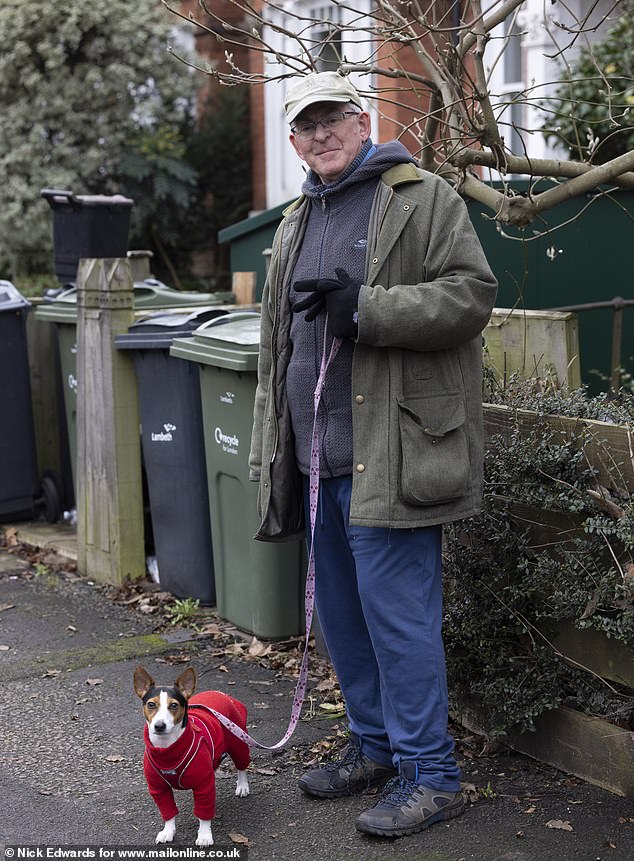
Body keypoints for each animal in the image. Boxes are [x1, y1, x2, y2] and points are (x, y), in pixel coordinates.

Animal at [133, 664, 249, 848]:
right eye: (151, 704)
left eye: (174, 705)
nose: (159, 726)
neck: (167, 749)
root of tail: (220, 693)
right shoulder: (158, 788)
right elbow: (168, 811)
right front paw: (168, 831)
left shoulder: (204, 786)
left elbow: (203, 813)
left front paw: (204, 835)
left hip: (239, 743)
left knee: (242, 766)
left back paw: (243, 786)